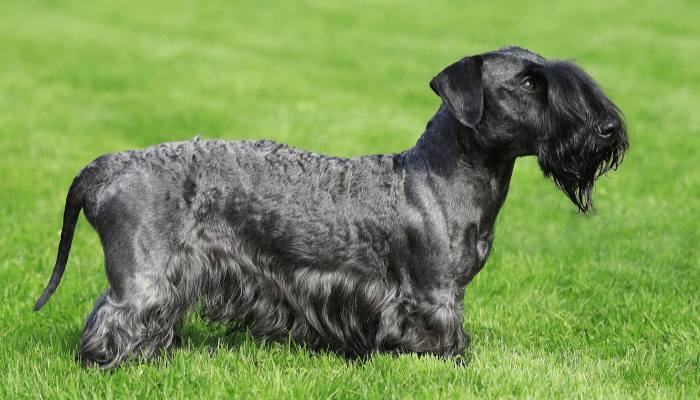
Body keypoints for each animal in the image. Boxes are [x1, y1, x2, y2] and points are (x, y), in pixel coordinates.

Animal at [32, 45, 628, 368]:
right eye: (529, 83)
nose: (607, 129)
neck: (440, 174)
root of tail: (107, 166)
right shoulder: (434, 294)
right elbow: (442, 337)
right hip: (143, 277)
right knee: (113, 318)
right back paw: (115, 363)